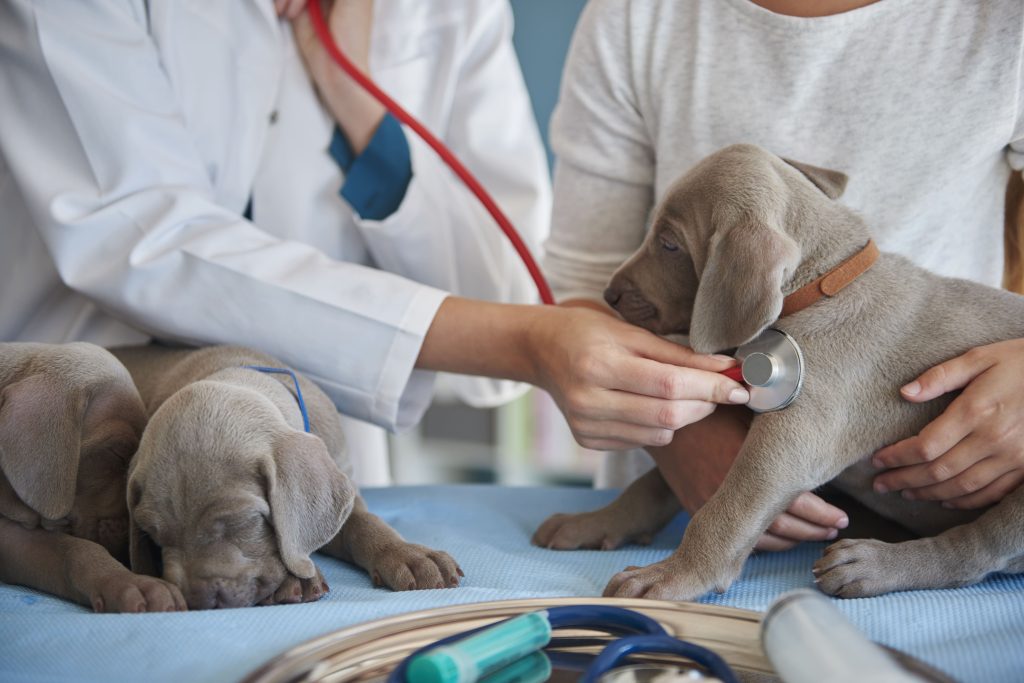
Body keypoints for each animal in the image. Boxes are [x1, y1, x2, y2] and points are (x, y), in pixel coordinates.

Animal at [114, 344, 462, 610]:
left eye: (242, 522)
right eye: (152, 535)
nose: (198, 601)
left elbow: (364, 523)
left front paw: (408, 555)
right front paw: (294, 579)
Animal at [532, 143, 1024, 598]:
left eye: (670, 244)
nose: (609, 294)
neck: (823, 285)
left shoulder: (792, 440)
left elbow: (726, 509)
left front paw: (672, 575)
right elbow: (651, 484)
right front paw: (594, 521)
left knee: (979, 550)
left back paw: (871, 565)